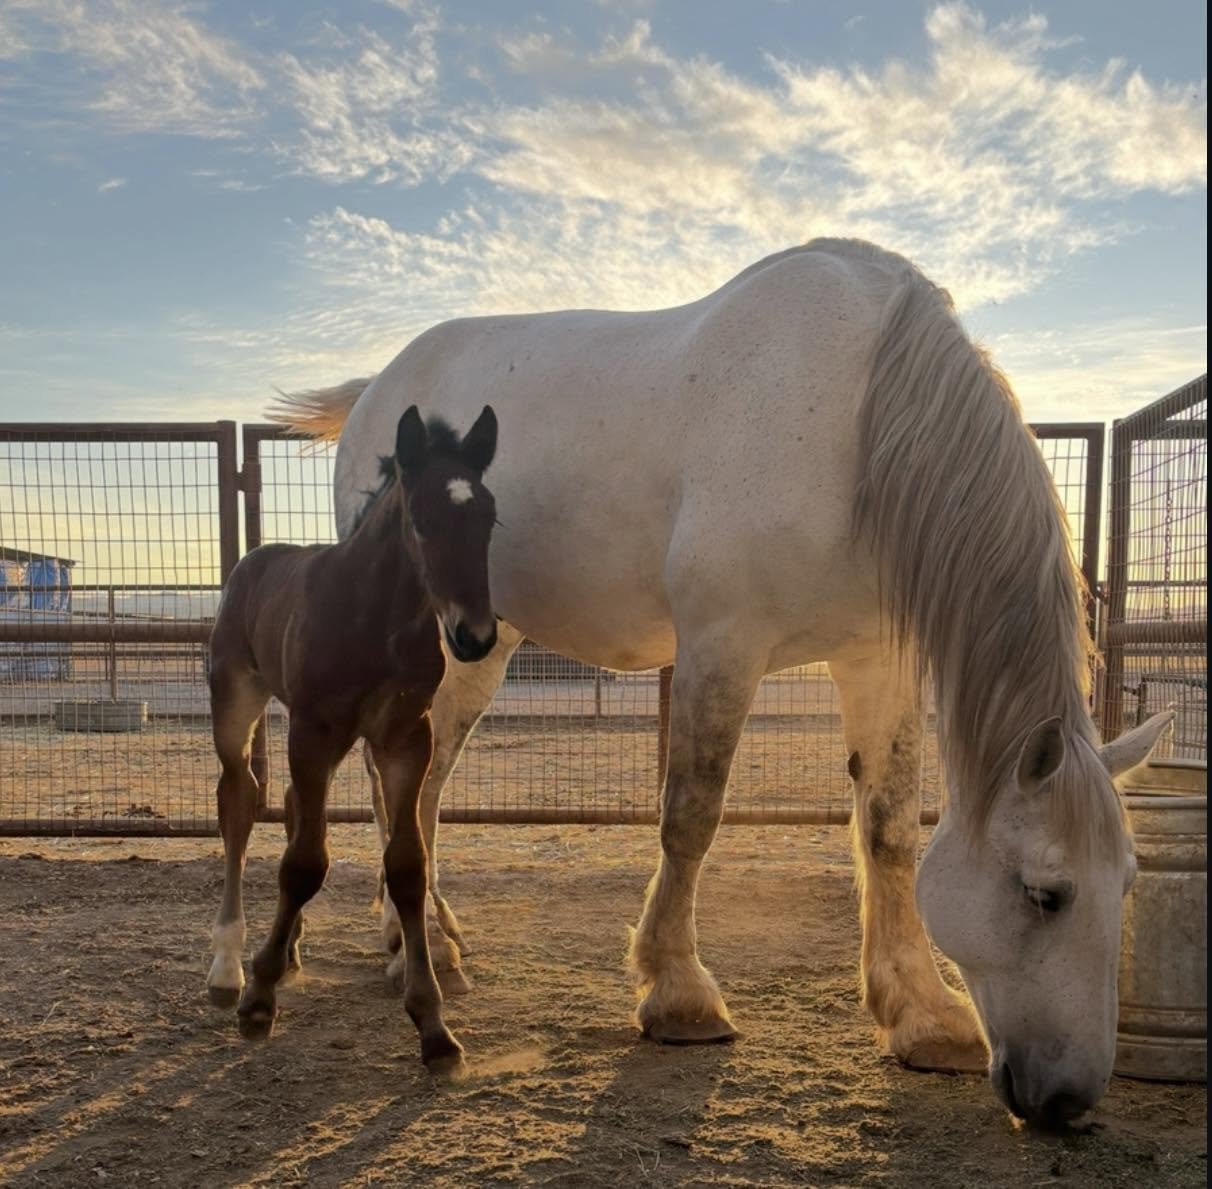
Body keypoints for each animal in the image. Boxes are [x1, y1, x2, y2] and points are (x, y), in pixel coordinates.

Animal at [204, 404, 499, 1072]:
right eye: (421, 519)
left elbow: (408, 865)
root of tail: (254, 560)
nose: (475, 637)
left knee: (287, 805)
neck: (376, 620)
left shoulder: (404, 738)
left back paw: (287, 949)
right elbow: (304, 863)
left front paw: (433, 1025)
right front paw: (258, 1001)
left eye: (489, 518)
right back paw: (229, 967)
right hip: (236, 702)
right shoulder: (316, 730)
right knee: (239, 801)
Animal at [273, 239, 1173, 1125]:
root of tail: (377, 389)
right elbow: (692, 815)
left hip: (486, 648)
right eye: (1046, 893)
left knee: (422, 791)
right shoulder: (721, 645)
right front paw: (679, 995)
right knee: (398, 787)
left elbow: (888, 829)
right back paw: (408, 947)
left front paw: (923, 1014)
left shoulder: (876, 659)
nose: (1069, 1098)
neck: (856, 419)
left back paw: (433, 940)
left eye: (1130, 881)